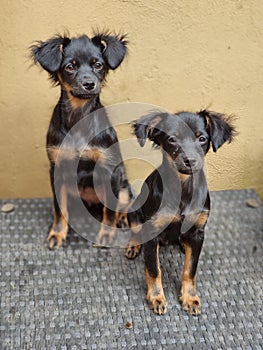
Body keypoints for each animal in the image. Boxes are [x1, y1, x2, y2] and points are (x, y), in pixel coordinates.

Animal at [31, 30, 132, 249]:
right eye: (70, 67)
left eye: (98, 64)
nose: (89, 84)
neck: (79, 116)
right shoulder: (57, 169)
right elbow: (59, 208)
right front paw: (58, 233)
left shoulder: (109, 169)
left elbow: (109, 211)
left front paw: (106, 235)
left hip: (123, 185)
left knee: (123, 205)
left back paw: (122, 219)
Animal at [126, 110, 237, 316]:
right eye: (172, 139)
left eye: (202, 138)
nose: (190, 161)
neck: (183, 187)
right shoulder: (152, 231)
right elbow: (153, 269)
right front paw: (156, 297)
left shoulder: (198, 232)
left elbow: (190, 270)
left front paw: (190, 298)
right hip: (134, 211)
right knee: (136, 233)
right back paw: (133, 247)